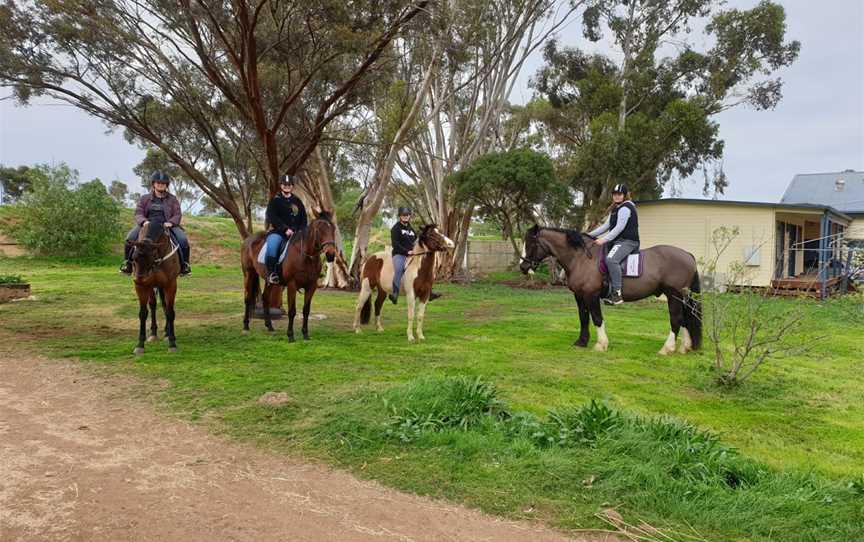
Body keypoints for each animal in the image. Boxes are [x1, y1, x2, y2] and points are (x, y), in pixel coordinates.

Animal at [129, 222, 180, 356]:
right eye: (134, 257)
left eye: (150, 258)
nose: (139, 279)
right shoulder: (142, 287)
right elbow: (143, 313)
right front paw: (140, 345)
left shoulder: (171, 285)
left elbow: (170, 312)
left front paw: (172, 343)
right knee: (153, 305)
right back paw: (153, 334)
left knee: (164, 305)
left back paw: (167, 334)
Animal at [243, 211, 340, 342]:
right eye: (319, 230)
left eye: (333, 229)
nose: (330, 254)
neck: (306, 256)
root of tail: (248, 240)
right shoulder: (292, 285)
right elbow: (292, 311)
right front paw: (290, 335)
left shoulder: (311, 286)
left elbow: (306, 310)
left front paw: (305, 334)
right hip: (249, 274)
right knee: (248, 298)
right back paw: (246, 325)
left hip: (270, 281)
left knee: (265, 298)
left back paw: (269, 326)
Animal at [520, 226, 704, 356]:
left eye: (530, 243)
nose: (523, 267)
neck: (580, 258)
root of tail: (687, 255)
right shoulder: (579, 296)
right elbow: (583, 318)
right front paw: (581, 342)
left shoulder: (591, 295)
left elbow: (596, 318)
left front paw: (601, 345)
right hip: (682, 298)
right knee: (685, 320)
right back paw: (684, 347)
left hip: (674, 295)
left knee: (676, 320)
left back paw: (667, 349)